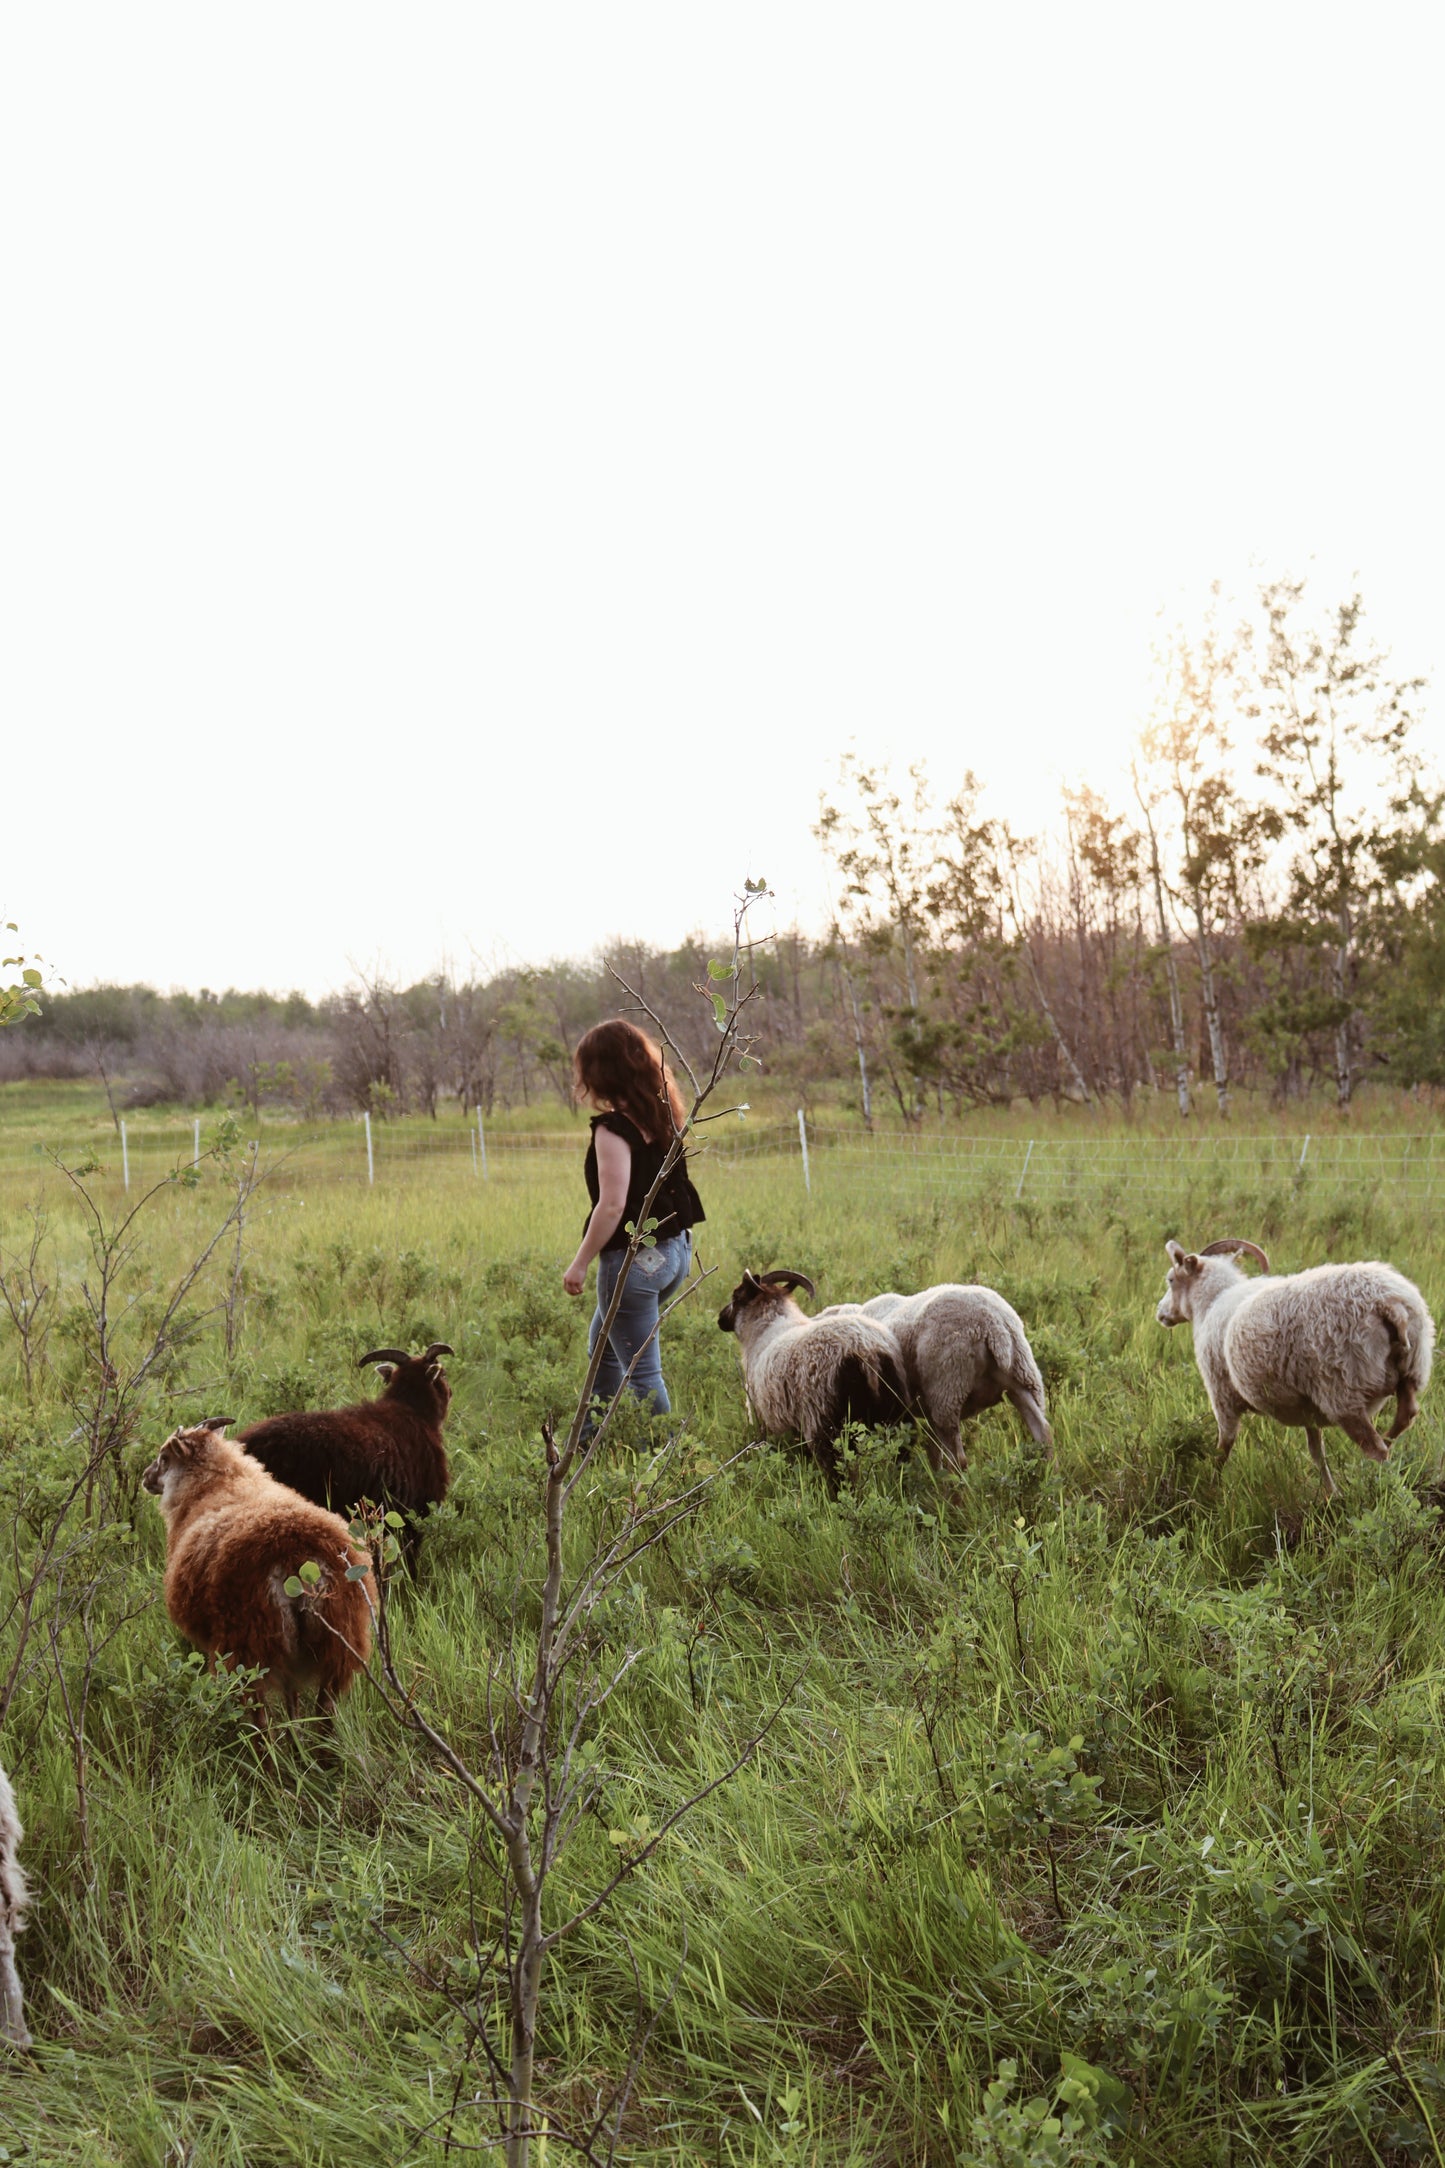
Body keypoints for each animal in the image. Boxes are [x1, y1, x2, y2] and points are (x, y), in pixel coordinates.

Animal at [142, 1422, 372, 1725]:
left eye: (164, 1457)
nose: (145, 1477)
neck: (213, 1484)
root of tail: (295, 1556)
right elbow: (292, 1699)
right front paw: (294, 1728)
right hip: (340, 1642)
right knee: (324, 1712)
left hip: (248, 1645)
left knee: (260, 1718)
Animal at [719, 1266, 909, 1491]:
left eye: (736, 1296)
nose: (720, 1319)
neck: (764, 1330)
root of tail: (865, 1350)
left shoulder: (763, 1420)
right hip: (896, 1412)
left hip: (825, 1424)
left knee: (838, 1474)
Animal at [814, 1283, 1052, 1474]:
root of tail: (993, 1324)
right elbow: (934, 1451)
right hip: (1023, 1376)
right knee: (1044, 1434)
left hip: (947, 1388)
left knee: (958, 1460)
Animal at [1152, 1231, 1438, 1500]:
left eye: (1171, 1279)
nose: (1160, 1314)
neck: (1212, 1301)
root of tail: (1390, 1305)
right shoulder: (1308, 1407)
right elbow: (1316, 1451)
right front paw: (1330, 1494)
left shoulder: (1221, 1396)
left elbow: (1223, 1448)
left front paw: (1212, 1488)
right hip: (1412, 1368)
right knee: (1406, 1415)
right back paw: (1387, 1445)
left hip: (1343, 1390)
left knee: (1375, 1450)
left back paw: (1380, 1485)